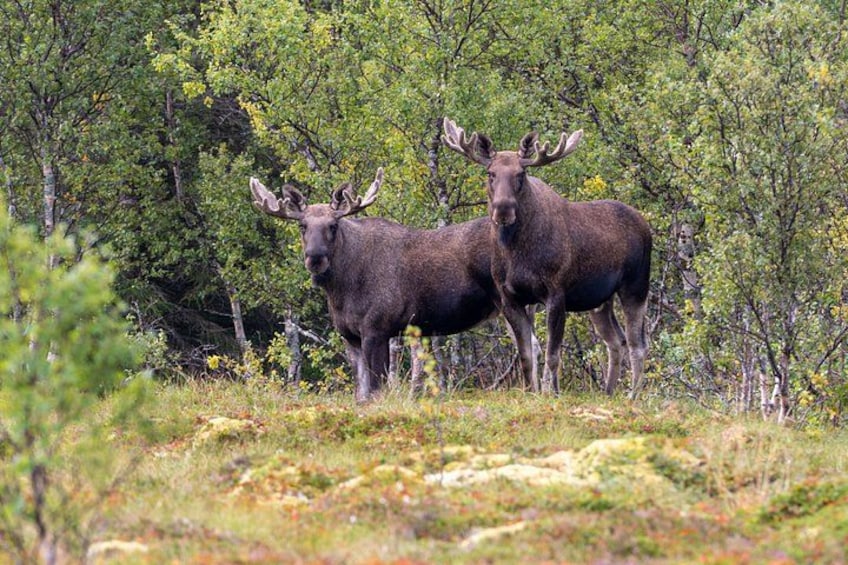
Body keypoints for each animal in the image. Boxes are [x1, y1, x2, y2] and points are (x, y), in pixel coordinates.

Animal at [250, 167, 538, 402]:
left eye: (333, 225)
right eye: (302, 225)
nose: (315, 257)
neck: (341, 291)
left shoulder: (377, 329)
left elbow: (376, 389)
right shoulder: (350, 335)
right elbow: (361, 393)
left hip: (509, 301)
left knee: (530, 345)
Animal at [443, 118, 652, 398]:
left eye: (521, 174)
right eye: (490, 173)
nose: (503, 209)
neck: (517, 252)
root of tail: (645, 225)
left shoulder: (556, 294)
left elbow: (553, 356)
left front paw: (552, 392)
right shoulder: (509, 298)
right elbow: (526, 356)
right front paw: (530, 392)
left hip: (636, 287)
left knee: (637, 343)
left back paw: (632, 395)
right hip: (600, 301)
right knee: (616, 340)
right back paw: (608, 391)